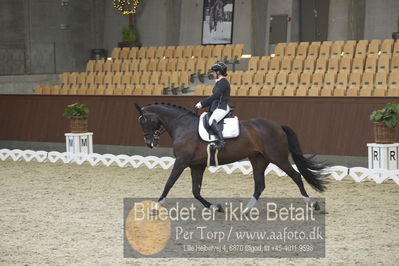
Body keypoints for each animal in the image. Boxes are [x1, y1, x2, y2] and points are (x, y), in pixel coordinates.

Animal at [134, 103, 328, 213]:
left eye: (144, 121)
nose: (150, 143)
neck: (183, 125)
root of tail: (278, 126)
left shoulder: (182, 162)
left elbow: (169, 183)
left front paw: (156, 206)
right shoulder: (196, 166)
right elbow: (196, 191)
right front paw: (215, 207)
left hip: (277, 158)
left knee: (296, 176)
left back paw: (312, 203)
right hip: (258, 160)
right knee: (259, 185)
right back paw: (245, 211)